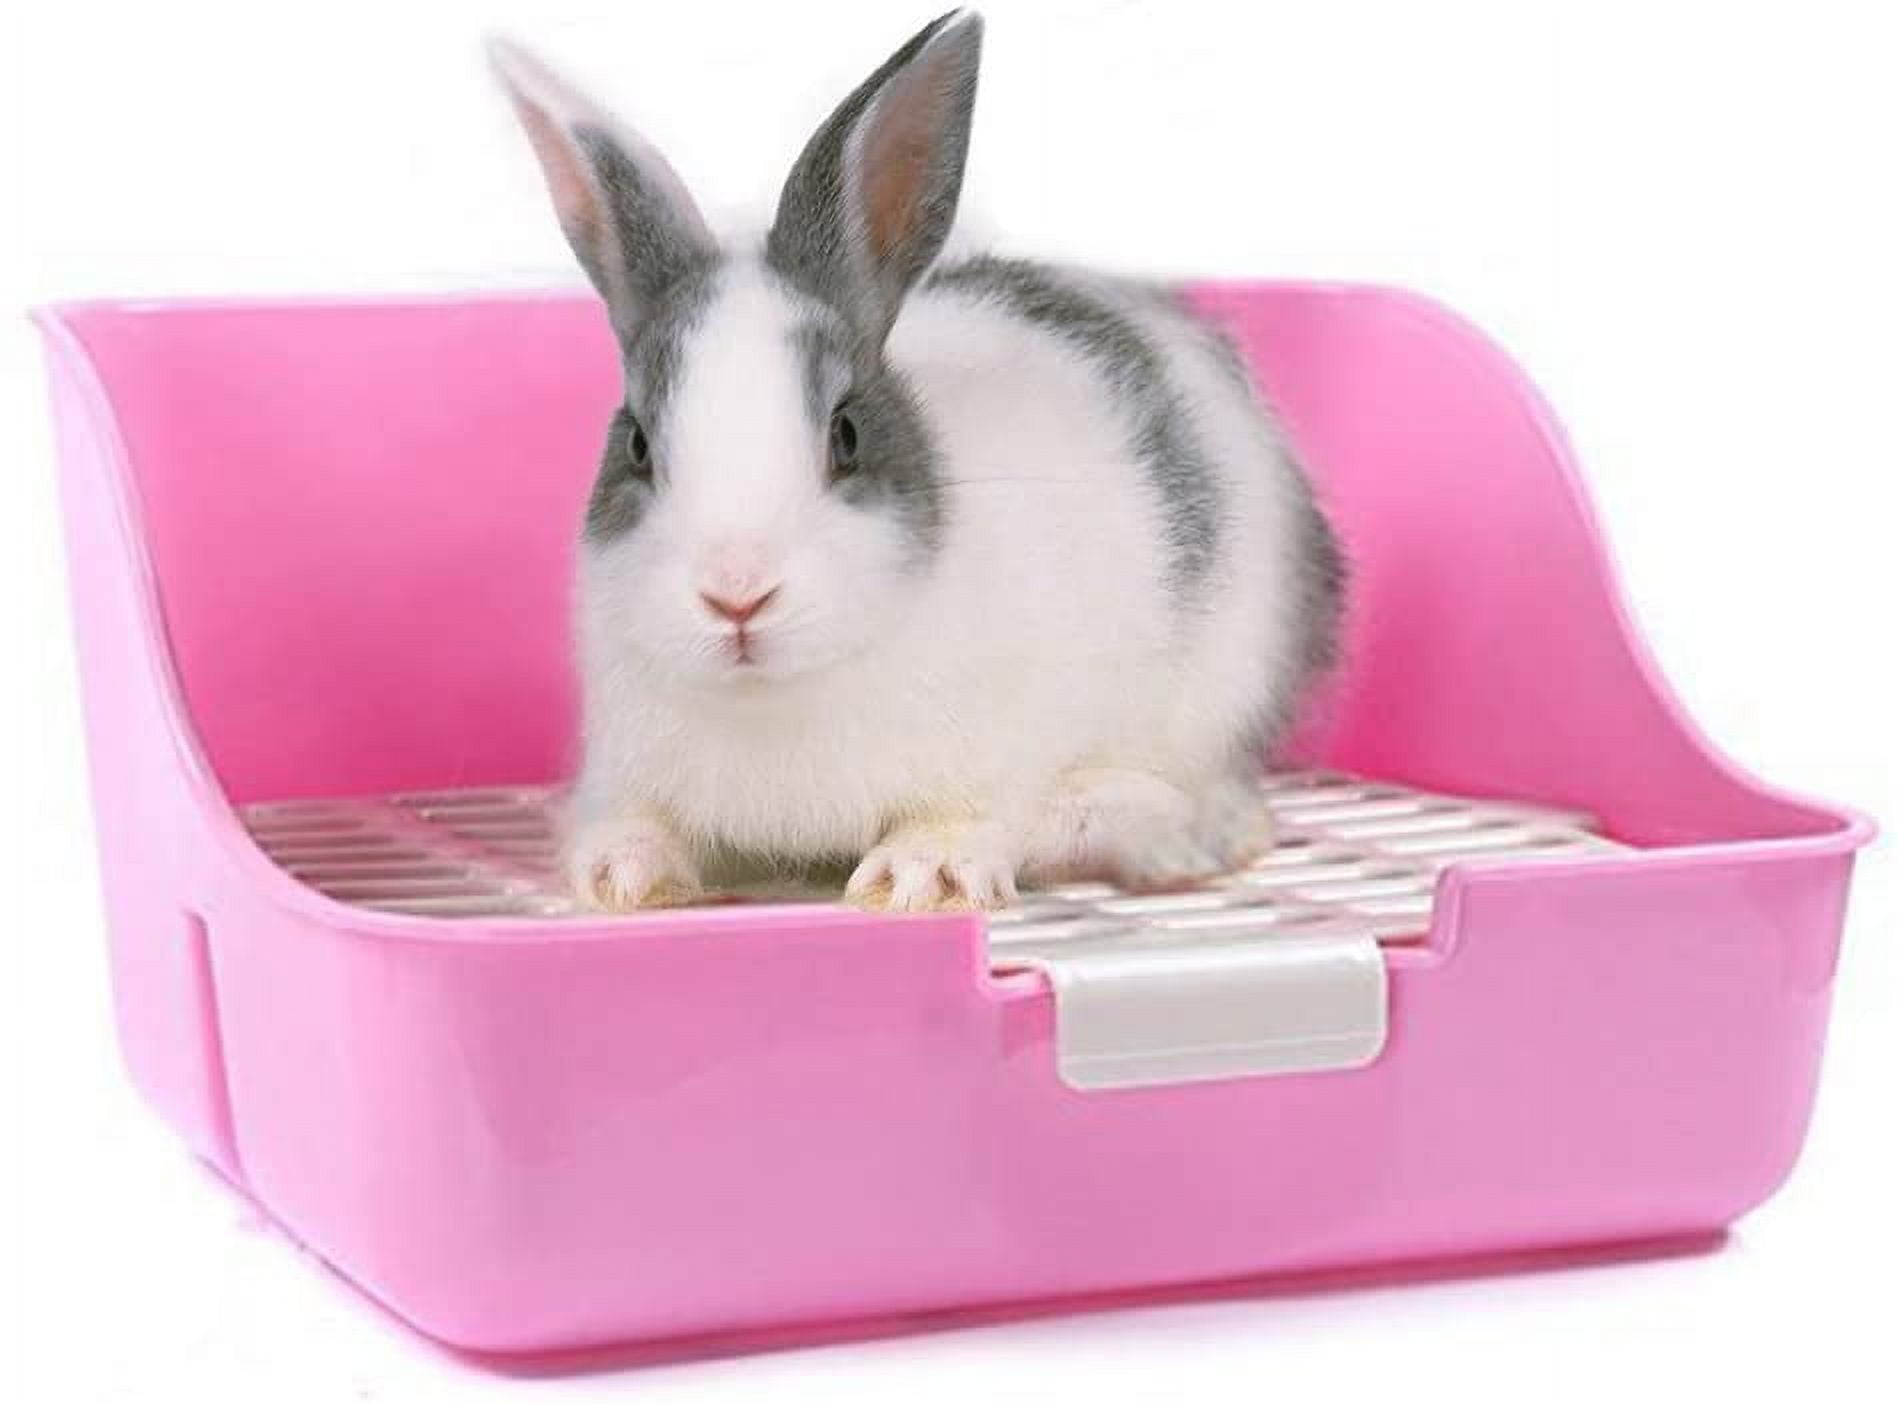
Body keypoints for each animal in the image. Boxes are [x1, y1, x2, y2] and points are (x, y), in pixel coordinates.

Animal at [490, 9, 1344, 913]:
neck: (777, 695)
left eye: (847, 434)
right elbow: (642, 825)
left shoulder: (996, 764)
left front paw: (922, 877)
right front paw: (622, 873)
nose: (737, 595)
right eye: (639, 445)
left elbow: (967, 818)